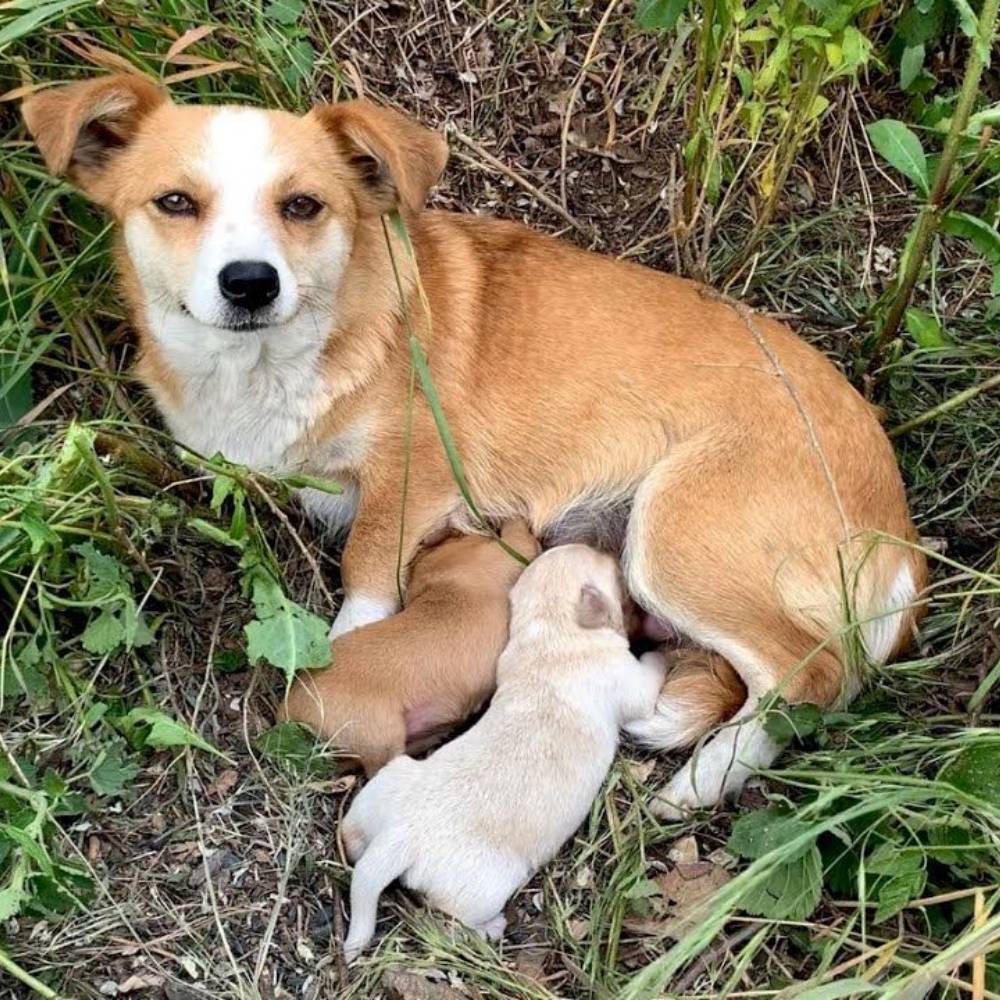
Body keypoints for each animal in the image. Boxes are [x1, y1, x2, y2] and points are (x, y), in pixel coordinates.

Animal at [340, 544, 668, 964]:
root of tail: (398, 838)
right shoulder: (625, 678)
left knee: (354, 832)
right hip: (486, 886)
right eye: (607, 565)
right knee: (455, 921)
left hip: (386, 783)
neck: (551, 631)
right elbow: (648, 680)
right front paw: (663, 654)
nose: (610, 550)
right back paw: (491, 928)